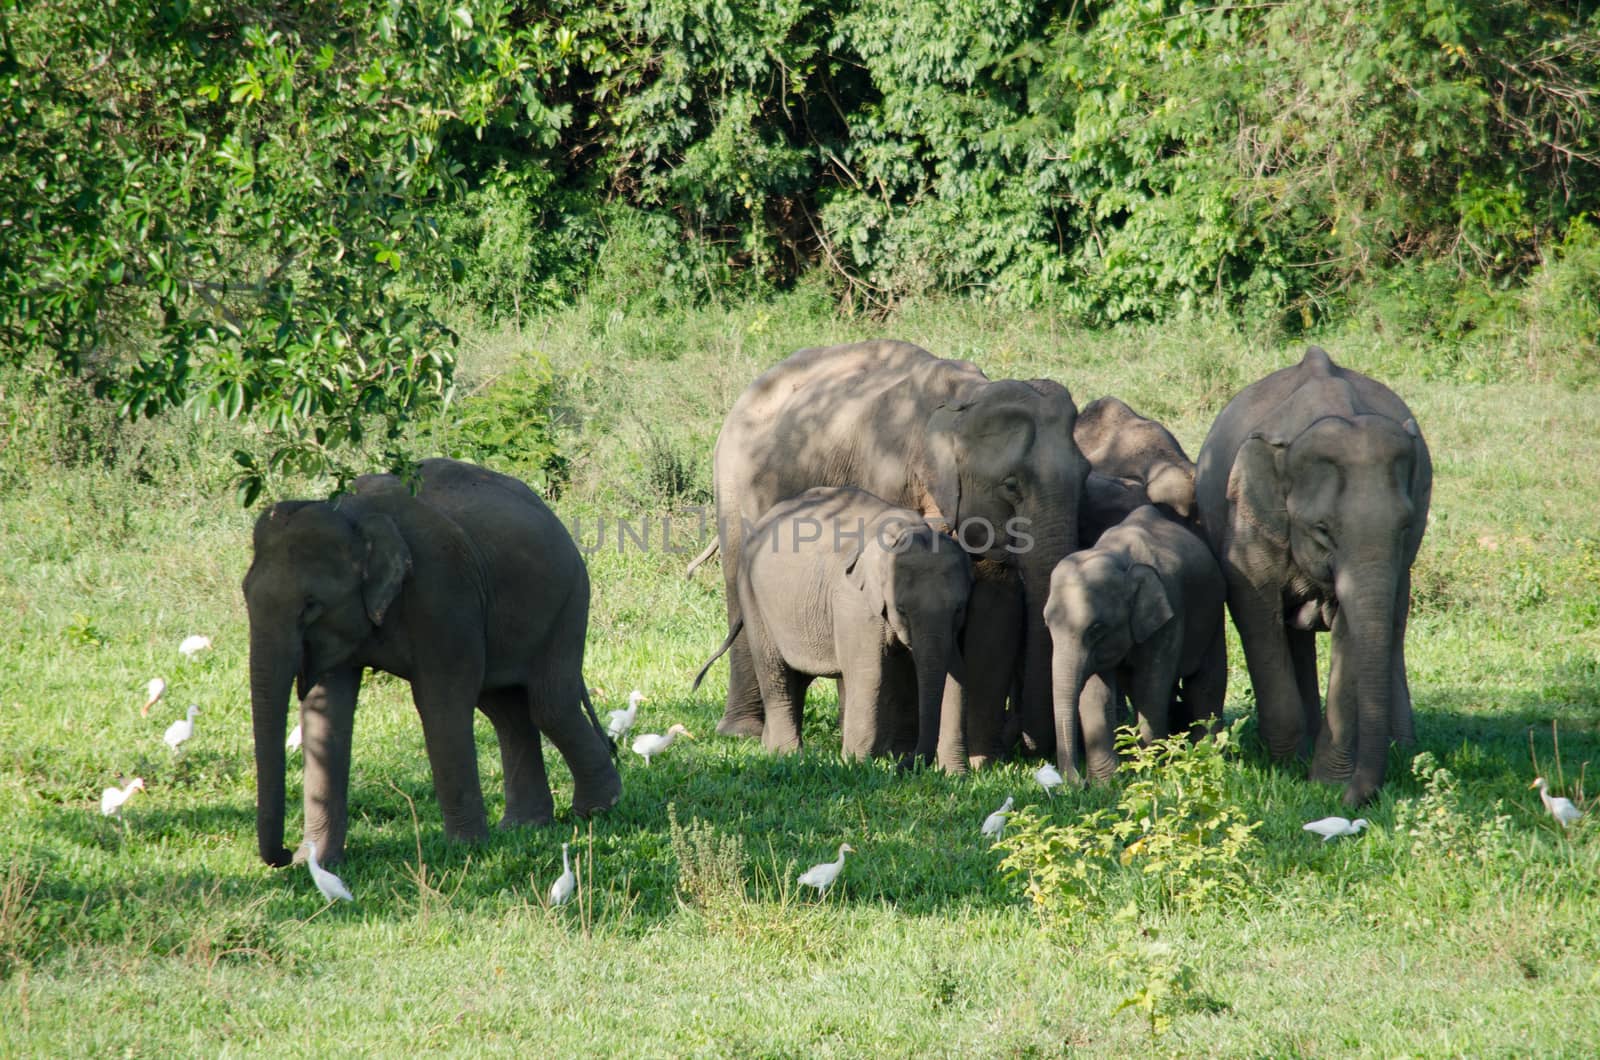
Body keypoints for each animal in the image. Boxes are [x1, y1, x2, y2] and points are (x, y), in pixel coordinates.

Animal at [241, 461, 617, 871]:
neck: (351, 515)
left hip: (568, 600)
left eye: (311, 606)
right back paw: (525, 826)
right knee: (507, 712)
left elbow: (442, 703)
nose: (283, 855)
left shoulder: (441, 590)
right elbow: (326, 715)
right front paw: (316, 863)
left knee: (550, 706)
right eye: (245, 592)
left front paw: (466, 850)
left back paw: (597, 811)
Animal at [691, 489, 972, 771]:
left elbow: (956, 674)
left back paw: (772, 749)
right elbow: (868, 672)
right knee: (774, 669)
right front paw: (857, 767)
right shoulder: (853, 601)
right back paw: (787, 754)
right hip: (753, 596)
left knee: (798, 676)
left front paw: (954, 774)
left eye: (960, 609)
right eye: (901, 609)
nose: (904, 764)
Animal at [1049, 502, 1222, 784]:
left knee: (1206, 681)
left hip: (1214, 609)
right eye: (1048, 625)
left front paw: (1150, 771)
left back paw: (1206, 752)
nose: (1078, 781)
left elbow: (1150, 686)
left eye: (1096, 629)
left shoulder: (1170, 613)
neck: (1118, 557)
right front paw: (1106, 783)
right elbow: (1097, 694)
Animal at [1196, 347, 1433, 807]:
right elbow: (1256, 610)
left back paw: (1404, 750)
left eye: (1404, 526)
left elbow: (1351, 632)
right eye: (1322, 529)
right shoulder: (1251, 519)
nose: (1359, 801)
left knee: (1393, 624)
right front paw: (1286, 769)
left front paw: (1326, 783)